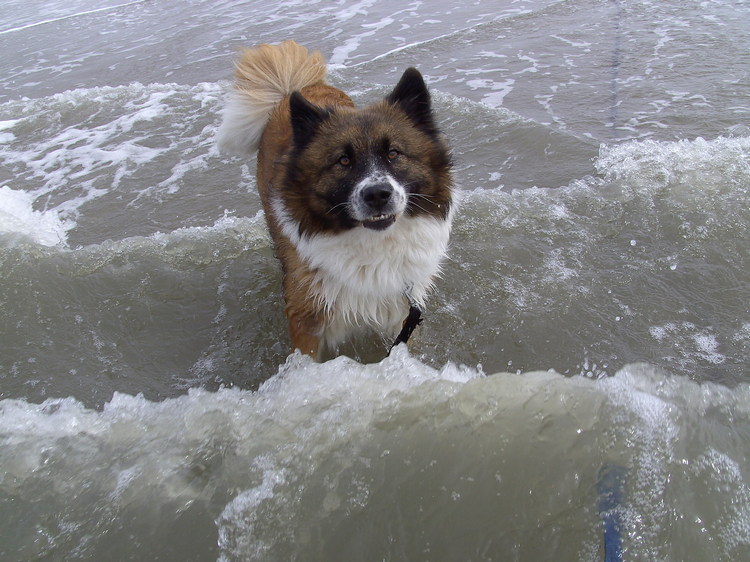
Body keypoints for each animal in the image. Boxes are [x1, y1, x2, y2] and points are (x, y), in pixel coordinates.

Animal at [214, 42, 456, 358]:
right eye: (343, 161)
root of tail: (294, 88)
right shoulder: (308, 317)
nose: (377, 195)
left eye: (394, 153)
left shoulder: (404, 310)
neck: (372, 247)